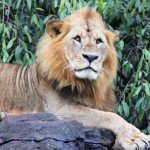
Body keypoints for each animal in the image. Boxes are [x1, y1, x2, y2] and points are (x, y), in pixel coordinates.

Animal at [0, 7, 149, 150]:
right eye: (77, 39)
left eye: (98, 41)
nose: (91, 57)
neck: (88, 84)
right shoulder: (57, 110)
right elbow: (106, 115)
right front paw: (136, 138)